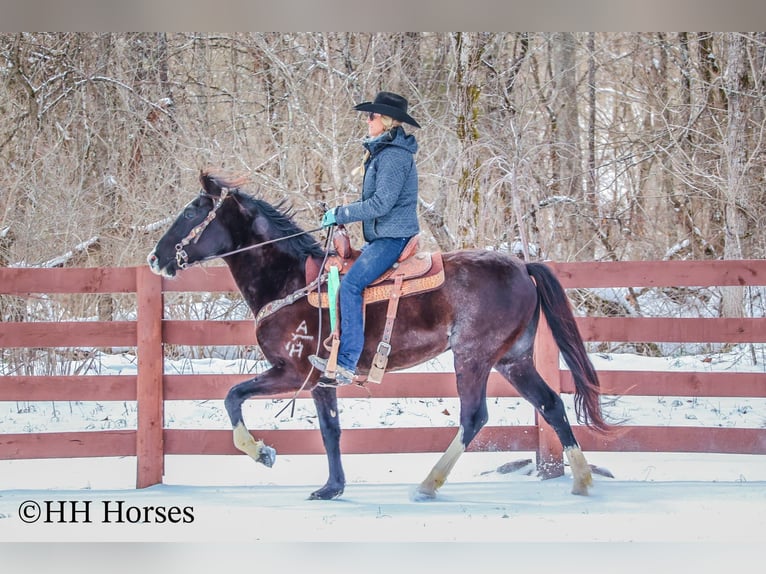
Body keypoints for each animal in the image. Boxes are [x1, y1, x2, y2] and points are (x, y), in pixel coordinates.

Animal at [147, 170, 609, 500]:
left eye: (190, 213)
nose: (155, 258)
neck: (291, 281)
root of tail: (522, 266)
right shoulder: (321, 381)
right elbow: (330, 430)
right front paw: (331, 487)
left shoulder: (292, 372)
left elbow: (232, 397)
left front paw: (263, 453)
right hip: (513, 360)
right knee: (551, 405)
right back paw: (583, 481)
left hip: (474, 357)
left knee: (474, 416)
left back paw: (428, 484)